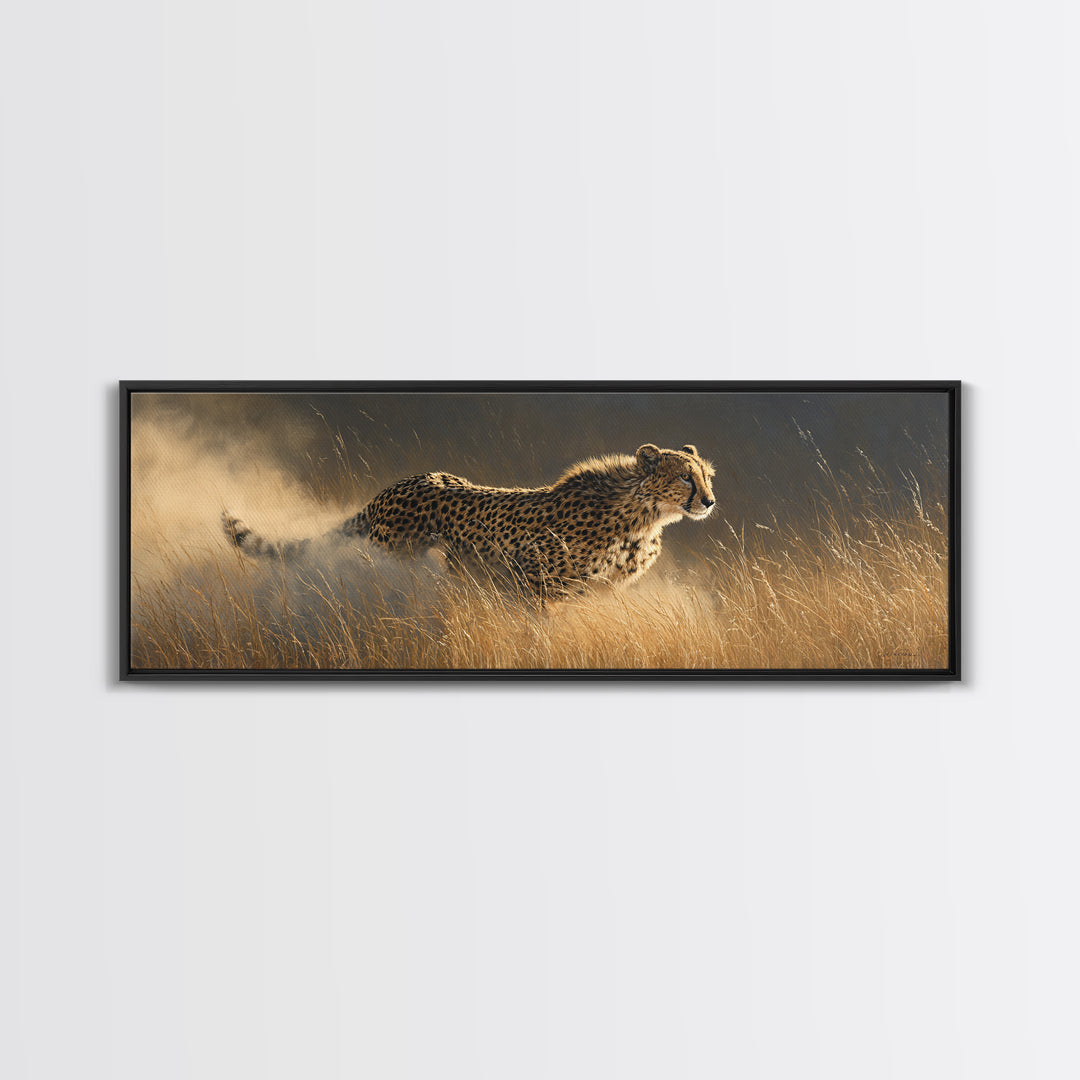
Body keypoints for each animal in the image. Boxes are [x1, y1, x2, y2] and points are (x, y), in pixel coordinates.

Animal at [222, 443, 716, 600]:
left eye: (707, 475)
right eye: (684, 477)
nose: (710, 501)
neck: (643, 517)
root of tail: (398, 485)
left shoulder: (600, 592)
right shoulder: (535, 581)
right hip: (402, 561)